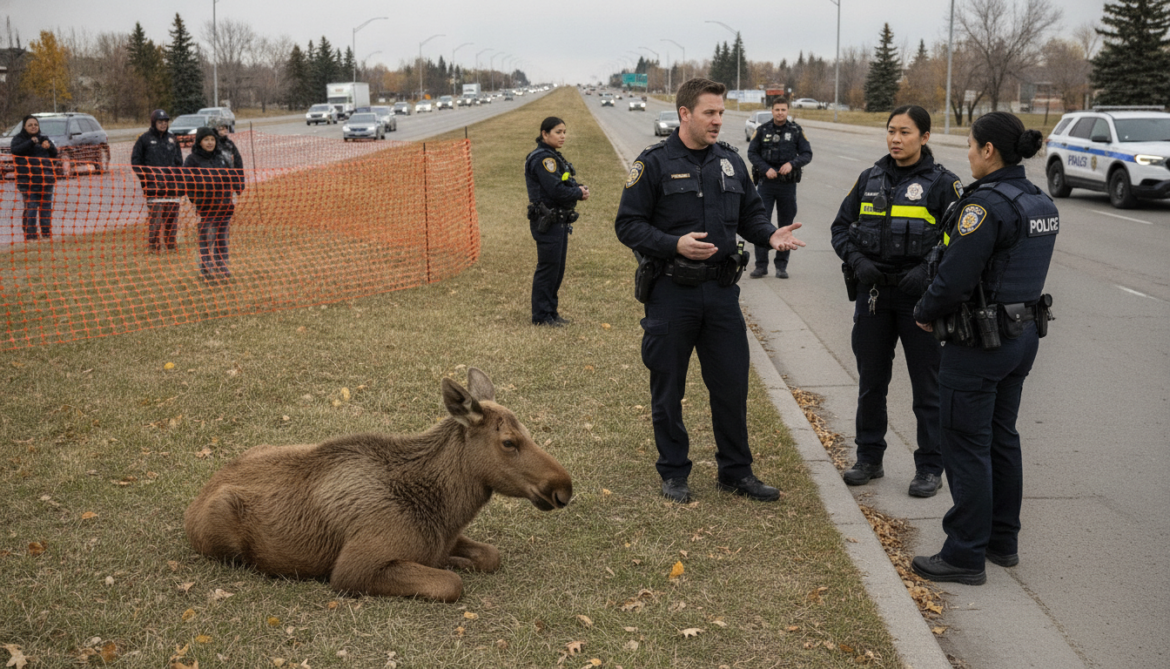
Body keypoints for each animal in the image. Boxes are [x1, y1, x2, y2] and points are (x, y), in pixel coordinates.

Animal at [184, 368, 572, 602]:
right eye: (509, 442)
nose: (564, 488)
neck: (444, 512)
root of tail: (194, 504)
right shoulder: (352, 570)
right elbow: (450, 583)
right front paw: (451, 567)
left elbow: (491, 555)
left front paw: (454, 559)